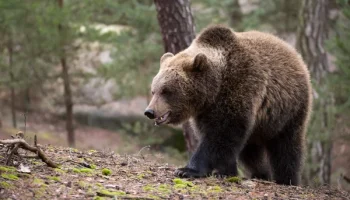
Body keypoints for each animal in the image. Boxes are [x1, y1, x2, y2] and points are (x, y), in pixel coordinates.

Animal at [144, 23, 314, 186]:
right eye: (154, 90)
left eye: (166, 91)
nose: (150, 112)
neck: (214, 88)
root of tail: (295, 54)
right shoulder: (205, 111)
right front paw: (226, 171)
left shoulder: (239, 89)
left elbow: (220, 135)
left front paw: (187, 170)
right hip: (261, 124)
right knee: (251, 150)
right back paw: (260, 173)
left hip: (289, 108)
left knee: (286, 145)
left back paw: (287, 179)